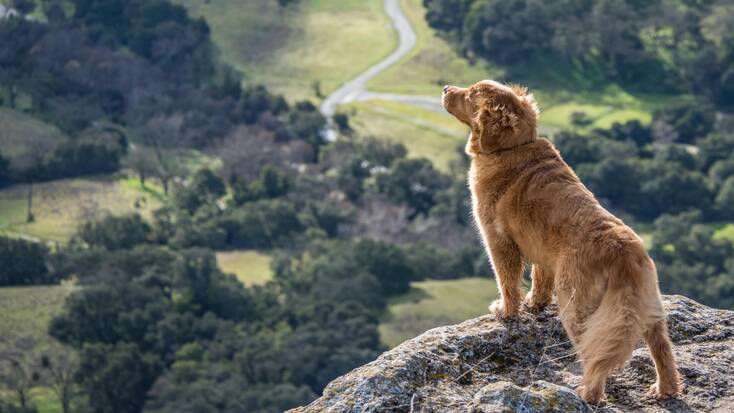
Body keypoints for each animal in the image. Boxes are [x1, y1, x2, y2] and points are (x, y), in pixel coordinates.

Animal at [440, 80, 680, 402]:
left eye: (469, 94)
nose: (445, 88)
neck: (513, 146)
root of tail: (623, 252)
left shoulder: (498, 240)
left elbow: (507, 281)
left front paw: (506, 310)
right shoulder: (542, 250)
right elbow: (540, 278)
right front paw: (535, 303)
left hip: (577, 306)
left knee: (596, 355)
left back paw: (588, 394)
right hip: (650, 307)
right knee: (662, 348)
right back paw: (665, 389)